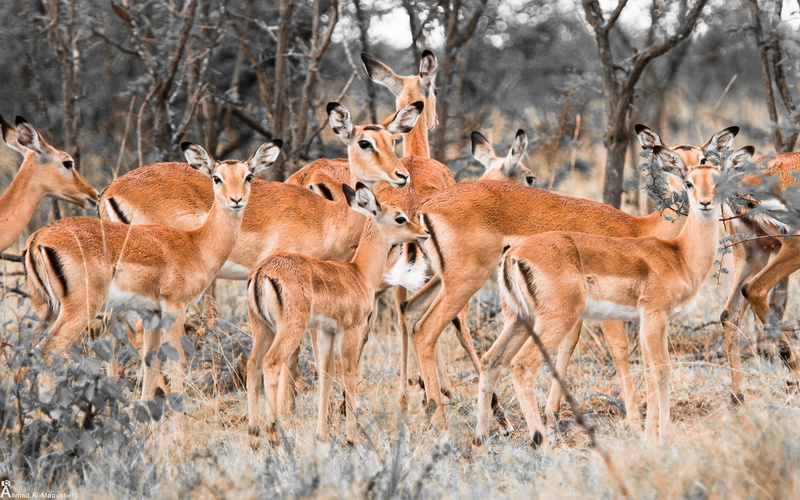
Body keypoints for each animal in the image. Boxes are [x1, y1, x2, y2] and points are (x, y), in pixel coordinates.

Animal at [25, 141, 281, 399]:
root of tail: (39, 237)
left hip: (48, 310)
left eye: (248, 176)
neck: (196, 244)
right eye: (217, 177)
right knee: (47, 351)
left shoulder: (152, 313)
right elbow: (176, 359)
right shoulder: (174, 306)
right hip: (81, 309)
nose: (236, 200)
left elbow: (151, 361)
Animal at [246, 183, 429, 445]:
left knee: (252, 365)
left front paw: (322, 434)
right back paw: (273, 432)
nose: (424, 232)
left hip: (262, 327)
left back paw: (253, 434)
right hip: (290, 329)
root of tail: (263, 271)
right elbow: (350, 372)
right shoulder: (350, 330)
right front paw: (351, 438)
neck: (359, 272)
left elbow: (326, 374)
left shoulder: (326, 332)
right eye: (399, 218)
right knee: (271, 362)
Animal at [400, 125, 741, 427]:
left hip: (445, 281)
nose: (698, 197)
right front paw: (633, 419)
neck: (639, 229)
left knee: (411, 312)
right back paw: (441, 418)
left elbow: (568, 346)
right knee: (428, 330)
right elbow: (619, 351)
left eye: (704, 158)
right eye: (670, 161)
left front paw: (552, 414)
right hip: (465, 281)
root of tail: (427, 207)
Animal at [472, 145, 754, 450]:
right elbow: (661, 371)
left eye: (718, 180)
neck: (678, 254)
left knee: (490, 361)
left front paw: (651, 434)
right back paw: (541, 443)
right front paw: (658, 437)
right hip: (555, 320)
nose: (705, 203)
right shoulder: (654, 313)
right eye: (690, 182)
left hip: (519, 319)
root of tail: (514, 254)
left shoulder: (651, 320)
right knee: (523, 365)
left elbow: (651, 369)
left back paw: (481, 441)